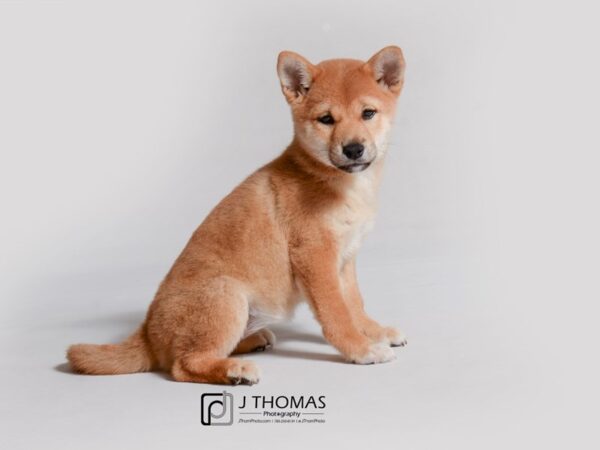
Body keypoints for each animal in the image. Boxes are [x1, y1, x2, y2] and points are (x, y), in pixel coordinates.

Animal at [68, 45, 410, 384]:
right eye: (326, 119)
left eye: (368, 113)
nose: (353, 149)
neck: (339, 183)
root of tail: (147, 333)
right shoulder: (315, 256)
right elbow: (336, 313)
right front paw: (361, 349)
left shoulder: (346, 259)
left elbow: (354, 304)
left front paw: (375, 332)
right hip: (226, 294)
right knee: (184, 364)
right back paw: (235, 370)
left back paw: (253, 341)